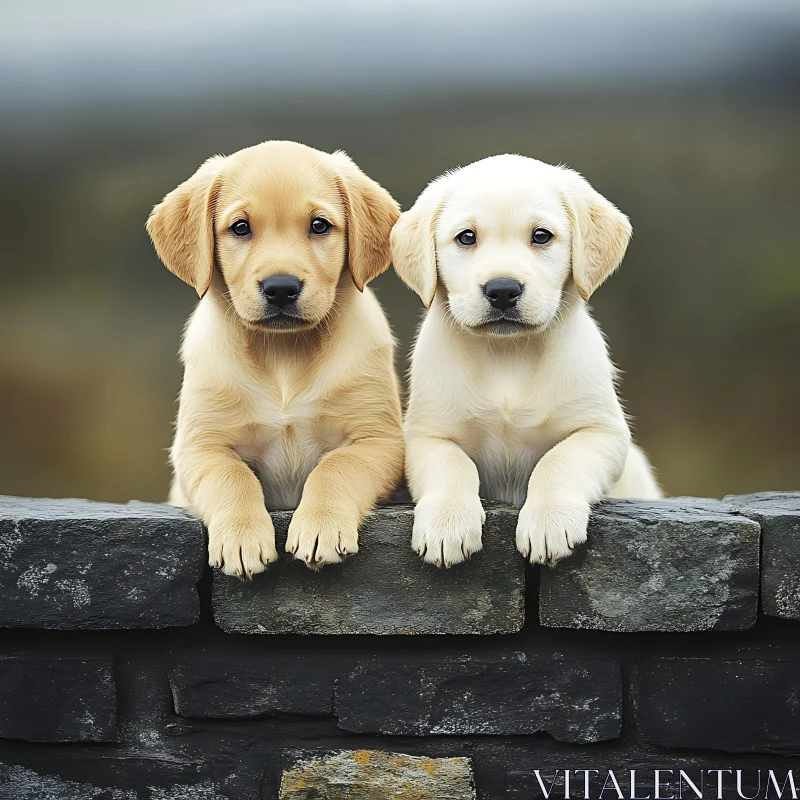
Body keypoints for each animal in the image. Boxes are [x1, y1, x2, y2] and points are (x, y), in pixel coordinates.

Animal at [147, 142, 404, 576]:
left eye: (319, 226)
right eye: (240, 228)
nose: (281, 288)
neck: (284, 354)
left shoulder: (378, 440)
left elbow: (336, 468)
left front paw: (320, 526)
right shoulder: (200, 447)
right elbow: (232, 476)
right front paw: (241, 537)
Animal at [390, 155, 660, 568]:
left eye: (541, 236)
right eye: (466, 237)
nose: (502, 290)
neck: (508, 355)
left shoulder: (602, 432)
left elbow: (559, 461)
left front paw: (550, 522)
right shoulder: (425, 435)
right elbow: (452, 464)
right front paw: (447, 524)